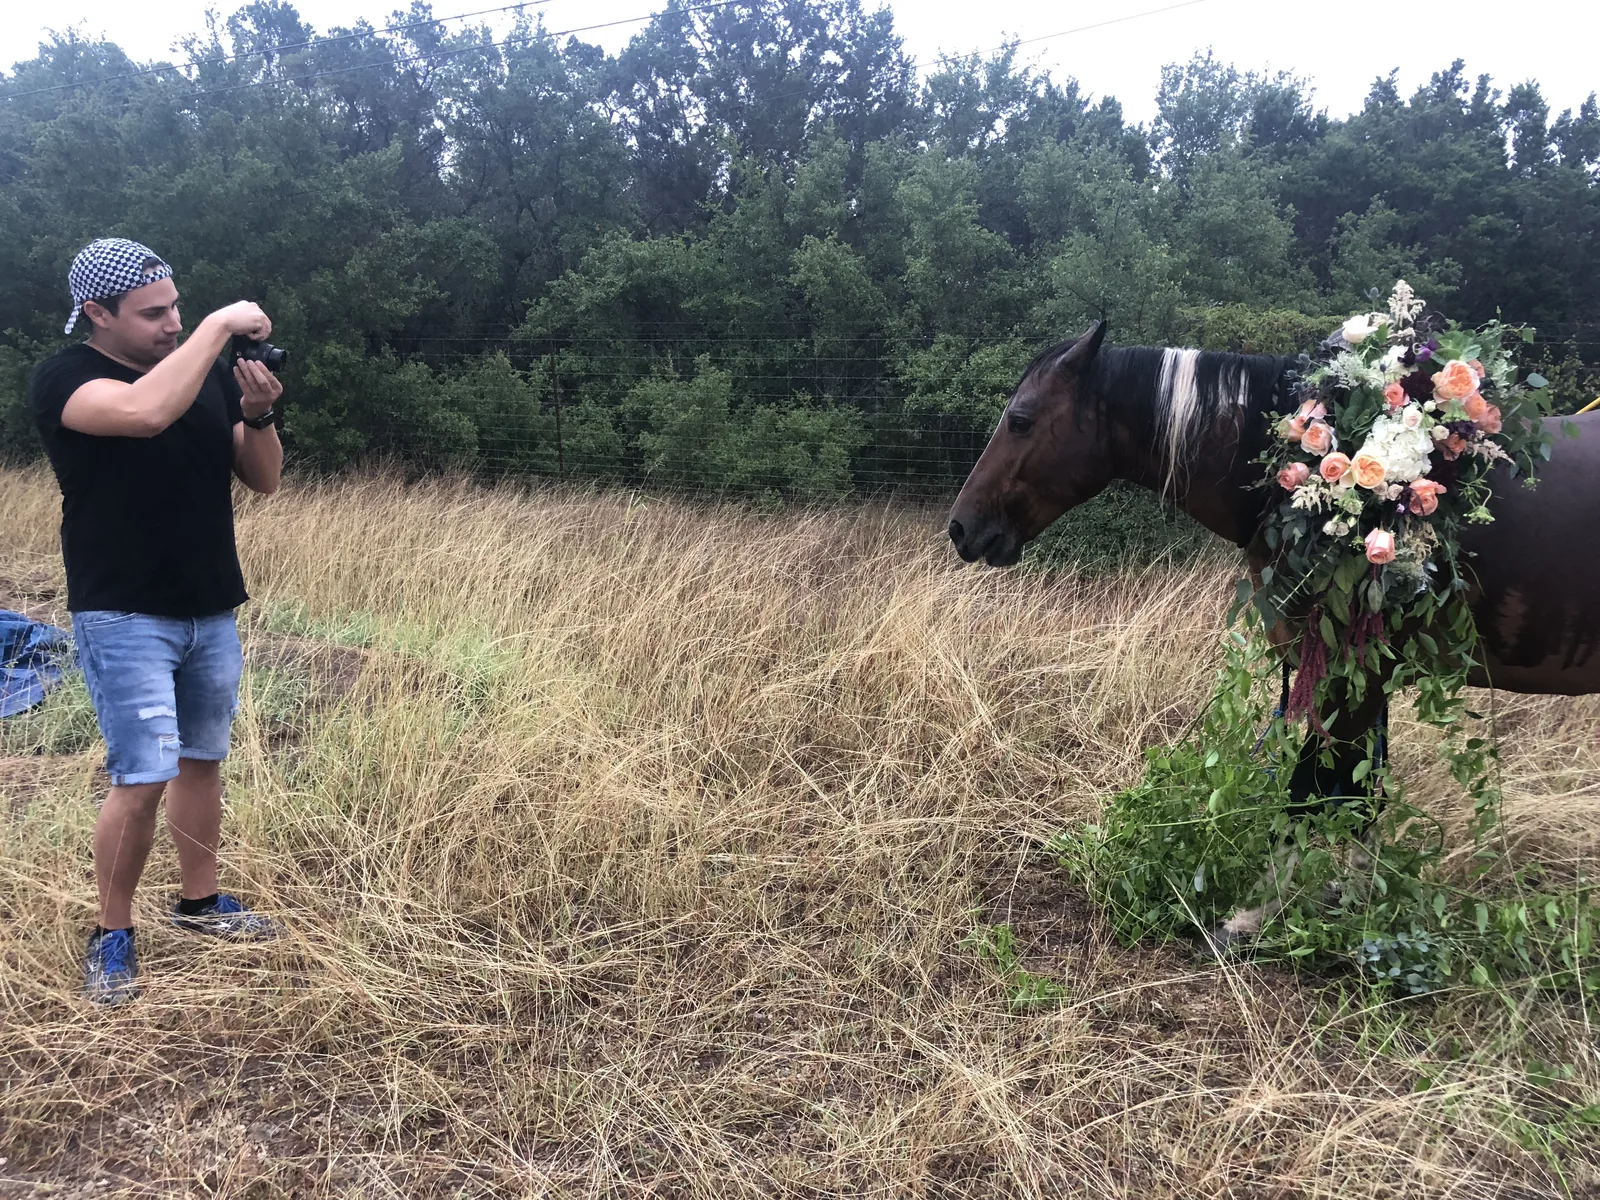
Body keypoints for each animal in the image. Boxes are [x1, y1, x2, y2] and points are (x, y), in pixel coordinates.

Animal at [946, 322, 1600, 942]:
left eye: (1021, 420)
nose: (960, 528)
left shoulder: (1351, 675)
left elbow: (1312, 790)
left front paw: (1258, 912)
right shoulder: (1358, 677)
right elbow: (1359, 792)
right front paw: (1351, 897)